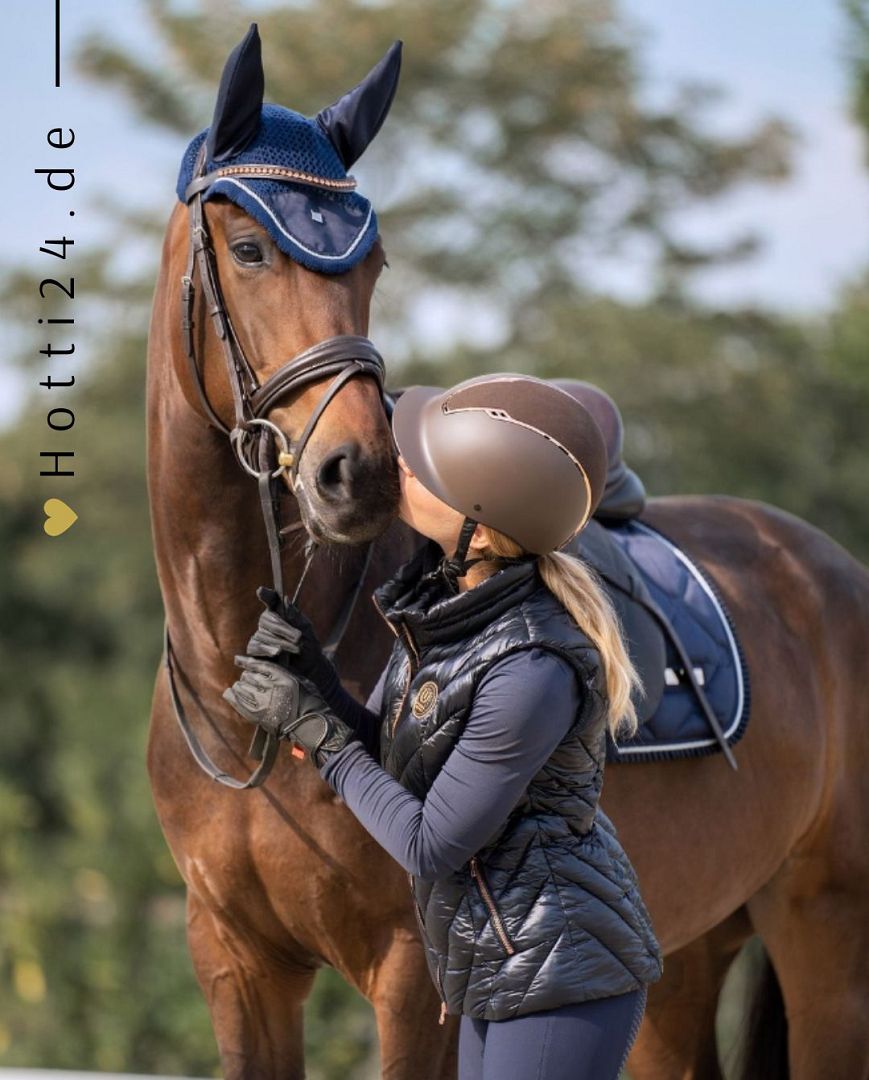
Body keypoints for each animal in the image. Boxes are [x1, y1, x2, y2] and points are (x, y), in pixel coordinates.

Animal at [146, 26, 869, 1080]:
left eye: (372, 266)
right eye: (247, 250)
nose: (359, 473)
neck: (235, 693)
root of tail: (823, 567)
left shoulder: (416, 975)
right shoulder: (235, 964)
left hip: (826, 936)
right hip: (688, 953)